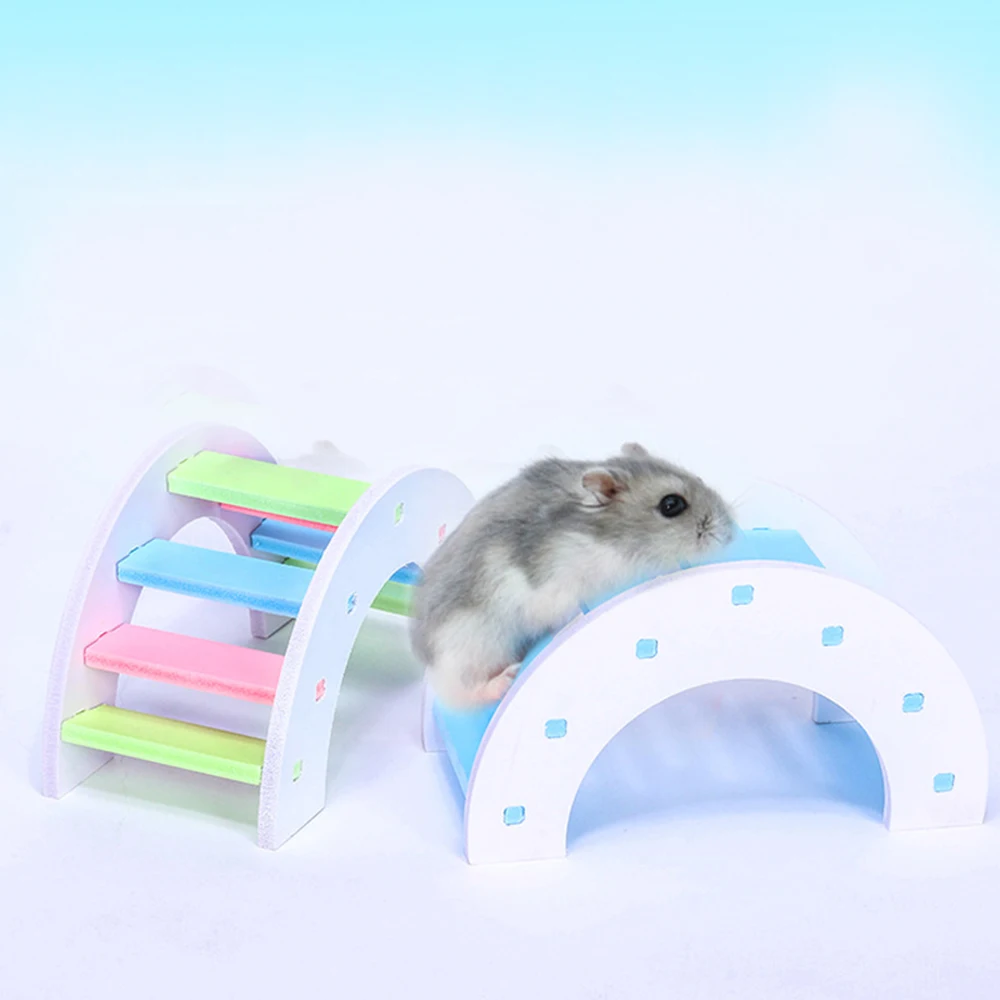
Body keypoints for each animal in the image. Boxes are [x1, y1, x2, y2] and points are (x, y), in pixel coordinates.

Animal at [410, 443, 735, 708]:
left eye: (699, 479)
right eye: (671, 505)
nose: (730, 534)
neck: (609, 538)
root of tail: (424, 656)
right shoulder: (555, 582)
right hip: (475, 643)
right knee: (462, 691)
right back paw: (504, 680)